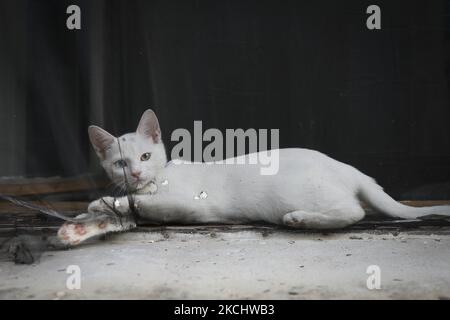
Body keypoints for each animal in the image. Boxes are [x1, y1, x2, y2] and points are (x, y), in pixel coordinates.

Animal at [56, 109, 450, 246]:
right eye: (121, 164)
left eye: (145, 157)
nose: (136, 172)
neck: (158, 180)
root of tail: (347, 168)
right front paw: (92, 211)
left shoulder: (188, 206)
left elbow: (140, 203)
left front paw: (108, 203)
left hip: (298, 192)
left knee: (354, 212)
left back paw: (301, 219)